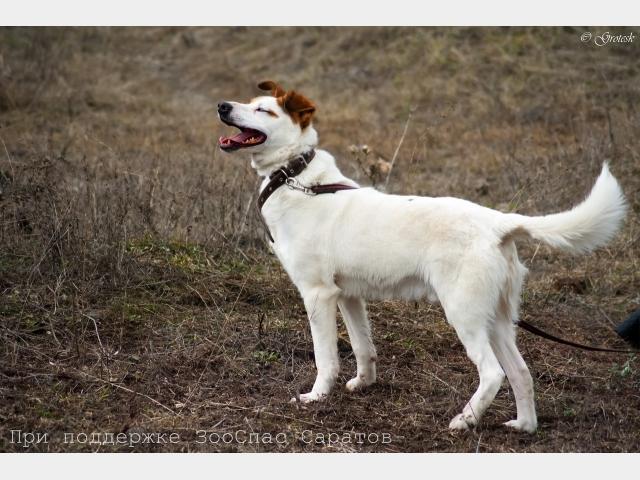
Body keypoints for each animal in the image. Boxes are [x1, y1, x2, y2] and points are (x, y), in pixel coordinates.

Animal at [218, 80, 628, 434]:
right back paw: (523, 426)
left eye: (264, 110)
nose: (222, 106)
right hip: (496, 319)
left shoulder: (318, 294)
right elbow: (364, 347)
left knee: (493, 373)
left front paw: (316, 396)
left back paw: (464, 420)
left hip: (463, 313)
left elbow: (325, 357)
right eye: (247, 102)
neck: (297, 180)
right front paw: (363, 383)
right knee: (521, 372)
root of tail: (496, 222)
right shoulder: (348, 296)